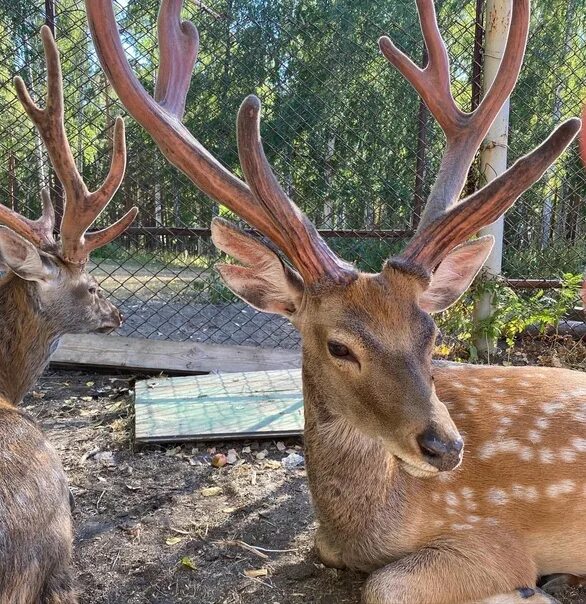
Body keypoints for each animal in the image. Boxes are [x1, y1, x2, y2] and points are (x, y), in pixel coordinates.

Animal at [88, 1, 584, 604]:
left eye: (432, 336)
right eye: (339, 346)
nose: (447, 448)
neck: (366, 530)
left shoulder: (500, 538)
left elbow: (386, 585)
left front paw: (530, 591)